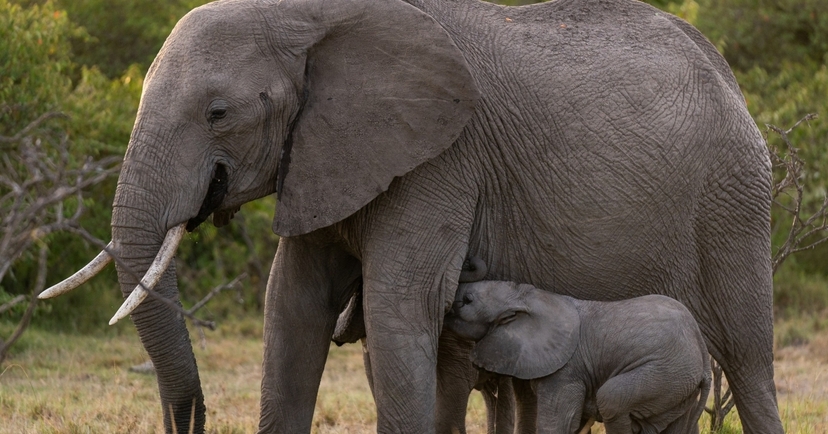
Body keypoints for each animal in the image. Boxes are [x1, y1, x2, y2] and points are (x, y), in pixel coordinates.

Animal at [445, 280, 712, 434]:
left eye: (467, 301)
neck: (530, 296)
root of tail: (701, 347)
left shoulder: (565, 372)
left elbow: (558, 424)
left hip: (666, 370)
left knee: (611, 398)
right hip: (680, 384)